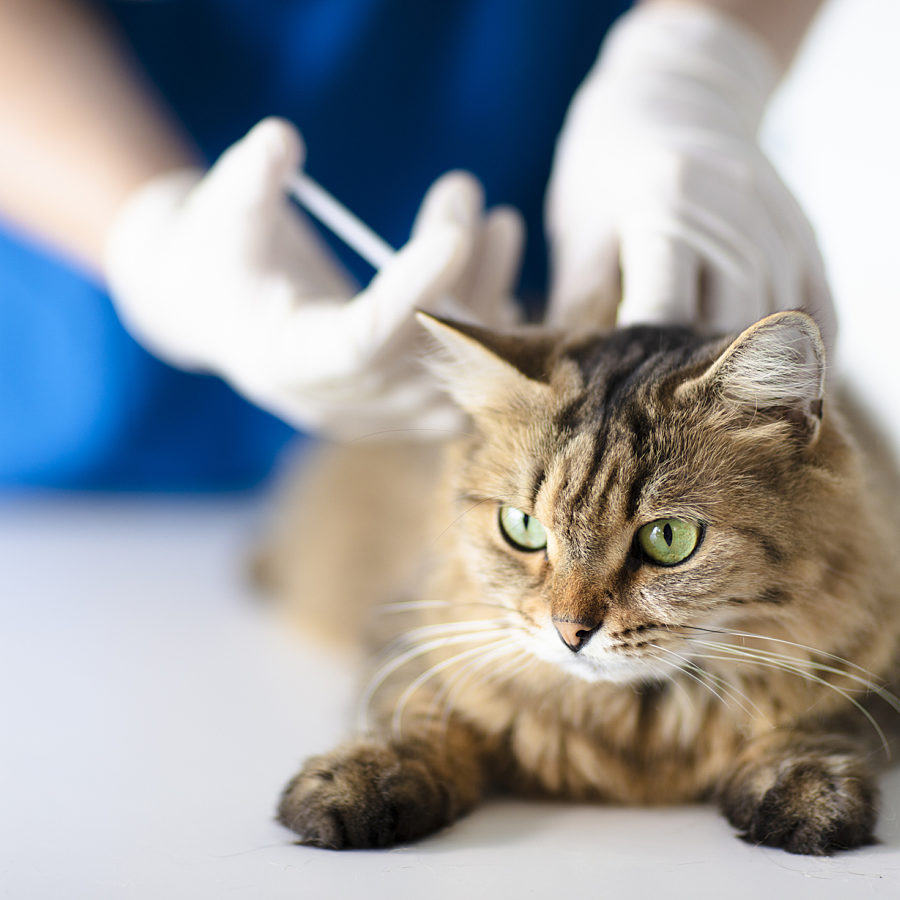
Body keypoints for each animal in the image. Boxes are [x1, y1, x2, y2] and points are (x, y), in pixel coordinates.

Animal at [260, 312, 900, 856]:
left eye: (669, 538)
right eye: (521, 527)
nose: (570, 632)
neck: (635, 723)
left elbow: (821, 719)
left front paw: (805, 787)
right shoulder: (411, 628)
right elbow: (416, 714)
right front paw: (363, 777)